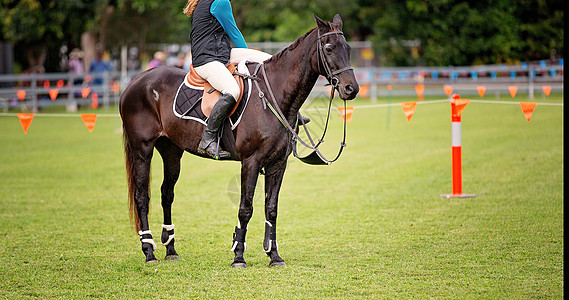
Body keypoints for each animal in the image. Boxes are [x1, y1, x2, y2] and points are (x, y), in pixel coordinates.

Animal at [118, 13, 360, 268]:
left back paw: (171, 249)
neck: (274, 96)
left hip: (172, 150)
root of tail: (136, 80)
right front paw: (238, 256)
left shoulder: (277, 164)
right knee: (142, 197)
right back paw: (149, 251)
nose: (351, 88)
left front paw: (274, 255)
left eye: (348, 48)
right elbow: (246, 208)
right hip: (142, 149)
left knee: (167, 194)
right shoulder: (250, 162)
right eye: (329, 48)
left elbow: (271, 209)